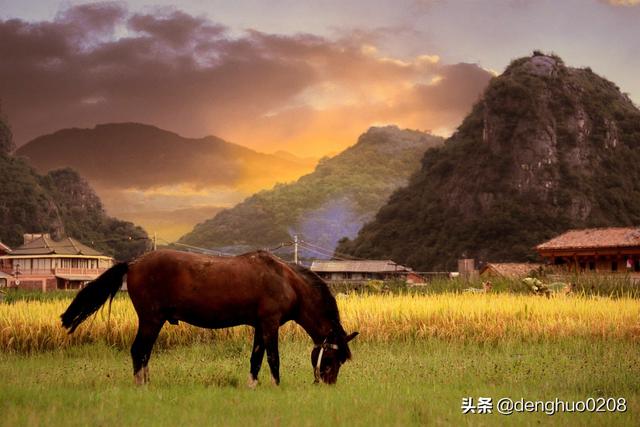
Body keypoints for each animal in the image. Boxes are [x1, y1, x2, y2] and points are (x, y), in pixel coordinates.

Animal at [59, 251, 358, 388]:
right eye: (332, 358)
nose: (327, 384)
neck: (286, 281)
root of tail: (133, 264)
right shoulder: (270, 324)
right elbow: (273, 358)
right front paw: (276, 386)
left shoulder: (259, 326)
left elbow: (256, 358)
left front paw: (252, 385)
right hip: (150, 319)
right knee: (139, 351)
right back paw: (141, 386)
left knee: (143, 353)